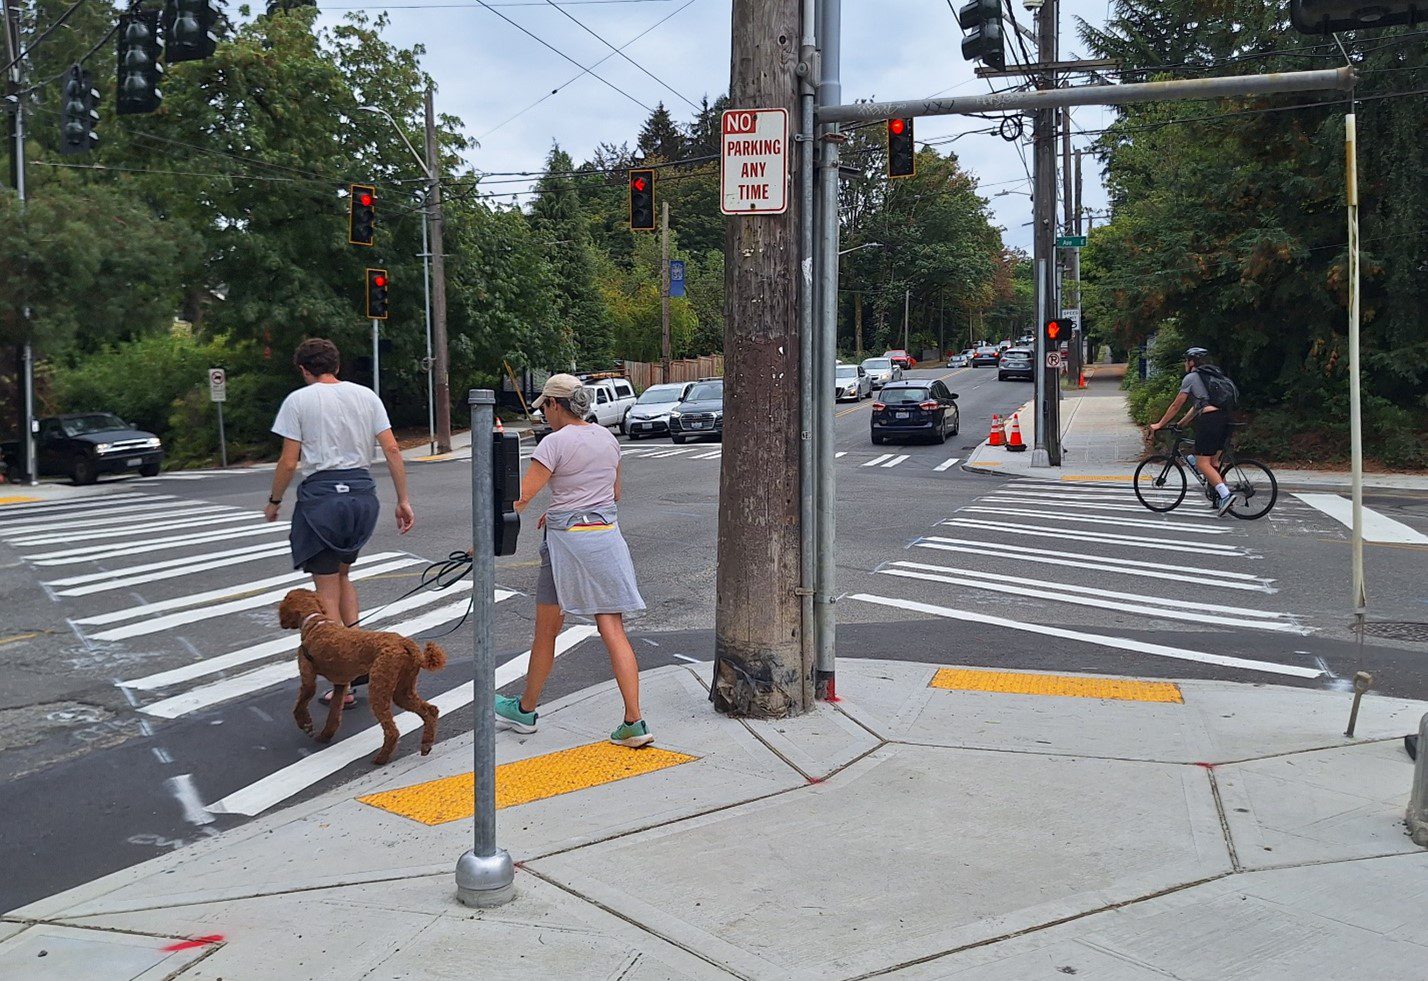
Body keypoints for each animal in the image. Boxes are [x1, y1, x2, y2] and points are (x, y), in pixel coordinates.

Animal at [277, 588, 445, 765]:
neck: (314, 621)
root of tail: (406, 644)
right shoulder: (341, 684)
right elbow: (334, 714)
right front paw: (325, 735)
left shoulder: (308, 676)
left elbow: (300, 704)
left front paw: (306, 725)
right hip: (403, 690)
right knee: (430, 710)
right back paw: (426, 744)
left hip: (379, 685)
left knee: (392, 731)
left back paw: (381, 758)